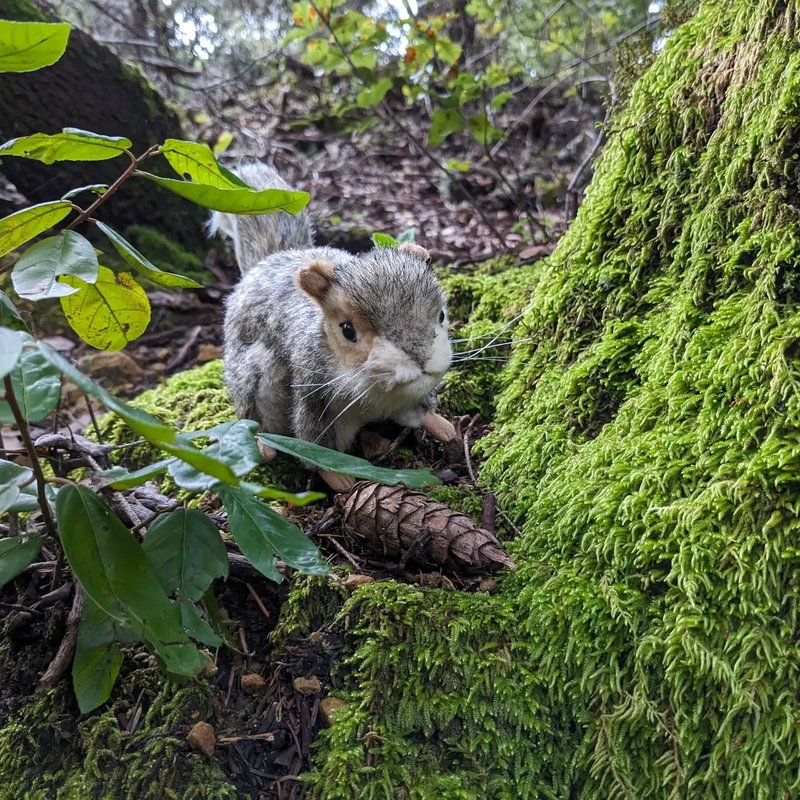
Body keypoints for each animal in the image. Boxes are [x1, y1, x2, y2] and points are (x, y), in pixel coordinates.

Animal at [212, 163, 457, 488]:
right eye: (347, 330)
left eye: (441, 315)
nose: (422, 361)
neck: (375, 390)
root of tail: (266, 263)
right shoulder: (313, 392)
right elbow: (314, 444)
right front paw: (337, 477)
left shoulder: (409, 397)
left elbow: (416, 412)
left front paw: (439, 424)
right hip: (254, 378)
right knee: (255, 414)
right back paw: (263, 444)